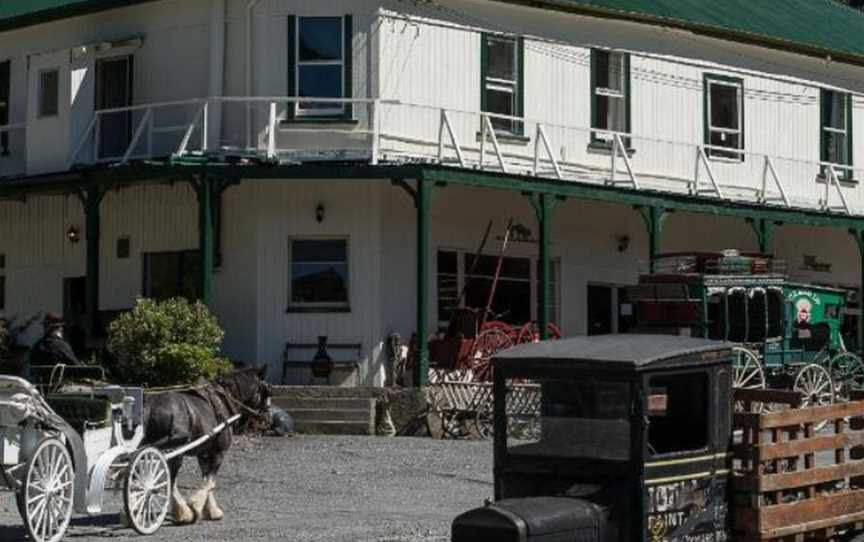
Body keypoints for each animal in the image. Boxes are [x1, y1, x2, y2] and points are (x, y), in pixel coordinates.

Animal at [143, 368, 270, 524]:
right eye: (266, 391)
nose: (267, 418)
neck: (223, 400)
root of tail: (150, 407)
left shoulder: (203, 454)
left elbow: (206, 479)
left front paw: (211, 510)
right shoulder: (219, 453)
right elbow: (210, 482)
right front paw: (196, 506)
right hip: (175, 453)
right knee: (171, 482)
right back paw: (183, 513)